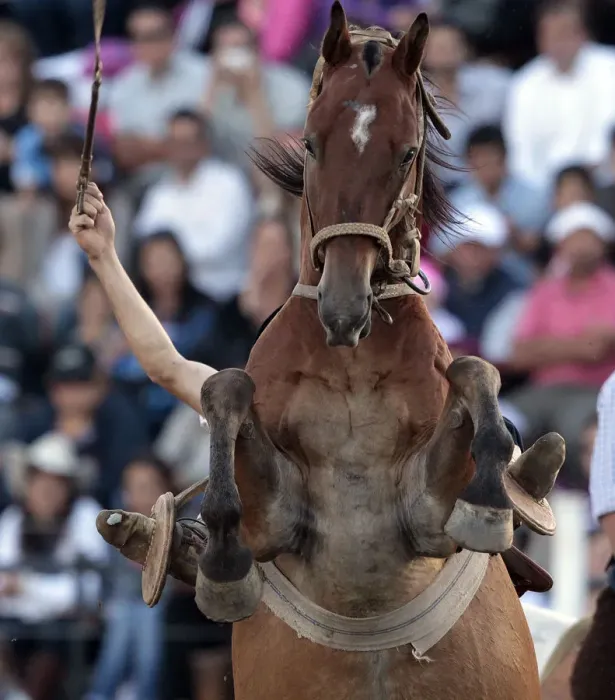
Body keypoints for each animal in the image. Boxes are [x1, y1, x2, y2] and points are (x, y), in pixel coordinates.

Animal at [97, 5, 566, 698]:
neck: (350, 369)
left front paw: (488, 501)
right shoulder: (277, 518)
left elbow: (475, 372)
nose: (344, 307)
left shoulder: (429, 514)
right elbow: (224, 389)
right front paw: (222, 565)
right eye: (313, 142)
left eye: (407, 151)